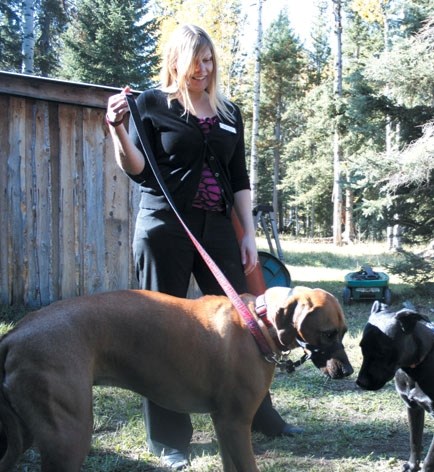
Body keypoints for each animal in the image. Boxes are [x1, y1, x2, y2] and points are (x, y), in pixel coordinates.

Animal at [0, 286, 352, 470]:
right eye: (328, 333)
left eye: (345, 332)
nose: (349, 371)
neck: (258, 323)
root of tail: (16, 334)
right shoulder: (236, 424)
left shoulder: (226, 427)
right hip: (69, 438)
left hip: (29, 433)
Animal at [358, 302, 434, 472]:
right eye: (361, 347)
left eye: (382, 351)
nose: (360, 382)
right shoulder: (413, 408)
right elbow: (415, 441)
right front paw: (412, 466)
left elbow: (429, 459)